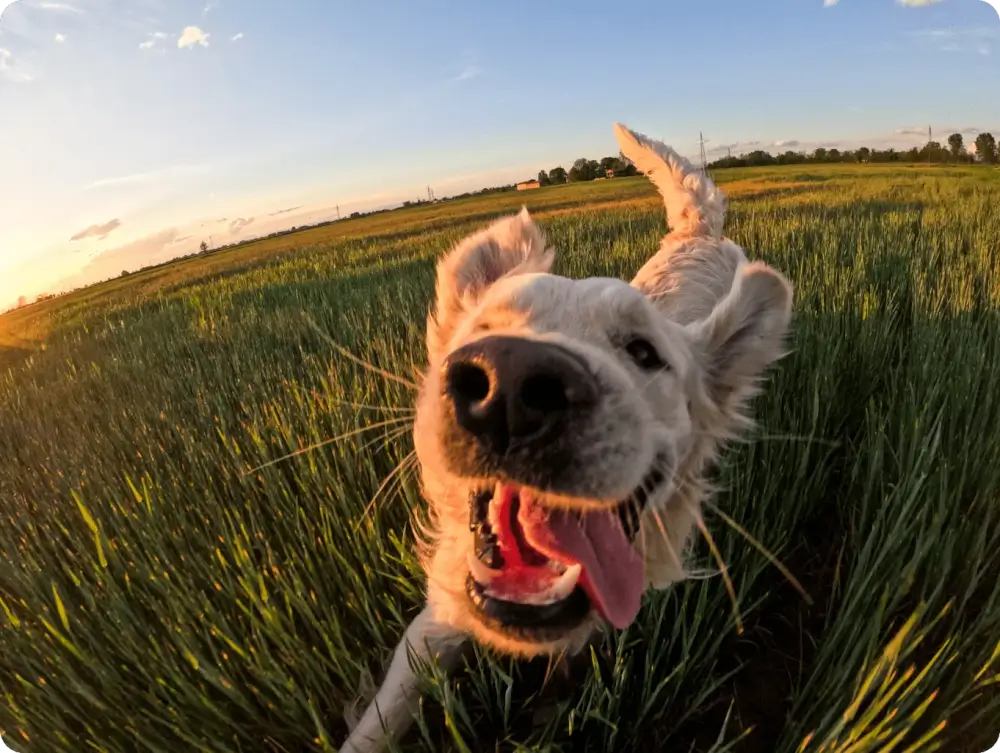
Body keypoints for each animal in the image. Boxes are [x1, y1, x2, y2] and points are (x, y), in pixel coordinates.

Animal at [340, 123, 792, 752]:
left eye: (643, 352)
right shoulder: (440, 614)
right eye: (485, 328)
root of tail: (696, 232)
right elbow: (381, 716)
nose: (511, 386)